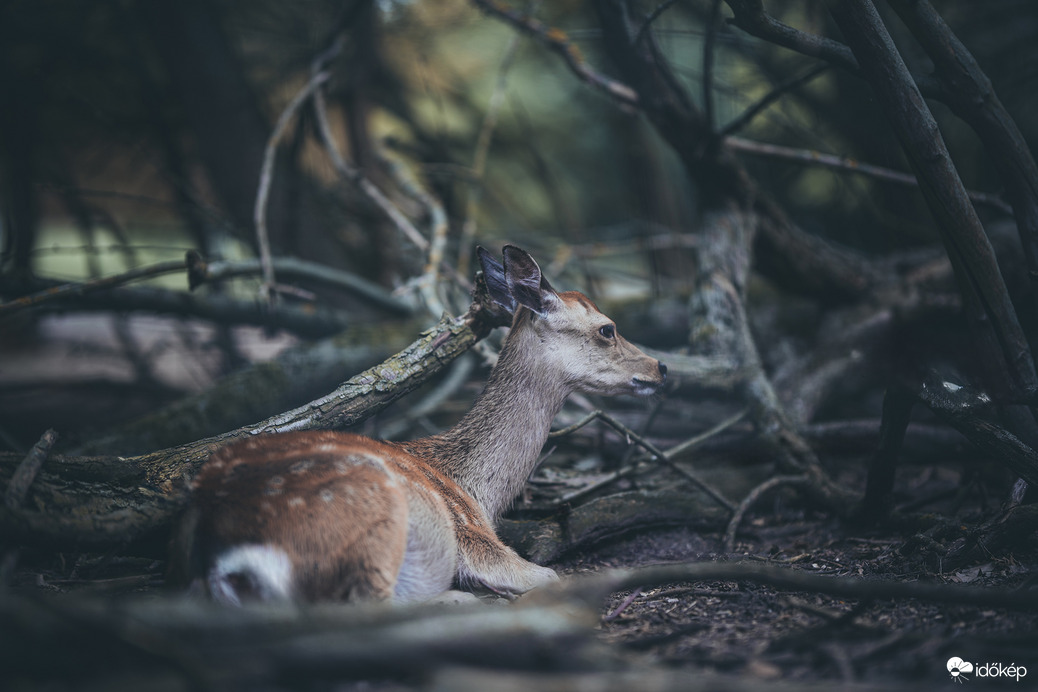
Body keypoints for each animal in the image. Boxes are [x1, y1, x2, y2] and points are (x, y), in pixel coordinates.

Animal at [172, 245, 664, 601]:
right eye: (607, 328)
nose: (660, 367)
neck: (476, 491)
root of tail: (228, 556)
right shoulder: (474, 539)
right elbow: (549, 576)